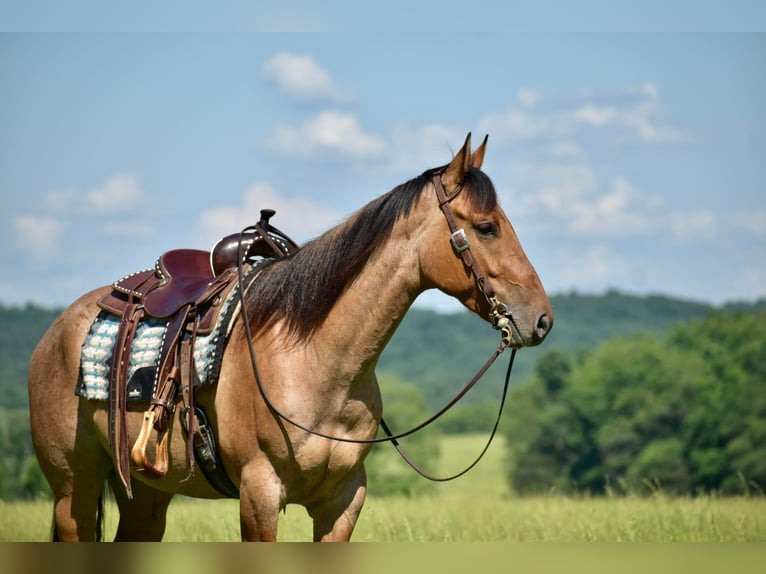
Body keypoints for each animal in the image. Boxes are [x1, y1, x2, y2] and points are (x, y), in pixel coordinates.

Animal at [28, 133, 552, 544]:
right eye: (486, 227)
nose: (542, 319)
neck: (315, 360)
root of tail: (56, 331)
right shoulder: (259, 493)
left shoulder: (343, 501)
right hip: (73, 491)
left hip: (146, 496)